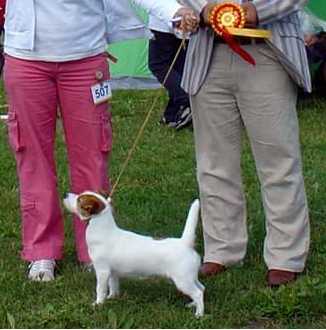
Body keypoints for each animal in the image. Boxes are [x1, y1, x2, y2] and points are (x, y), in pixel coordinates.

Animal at [63, 192, 204, 318]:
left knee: (198, 293)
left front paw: (98, 303)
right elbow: (113, 285)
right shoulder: (112, 272)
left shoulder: (102, 270)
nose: (65, 194)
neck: (103, 229)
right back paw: (193, 304)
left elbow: (100, 288)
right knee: (201, 288)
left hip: (182, 280)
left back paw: (199, 314)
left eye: (80, 200)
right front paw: (112, 297)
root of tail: (185, 243)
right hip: (190, 277)